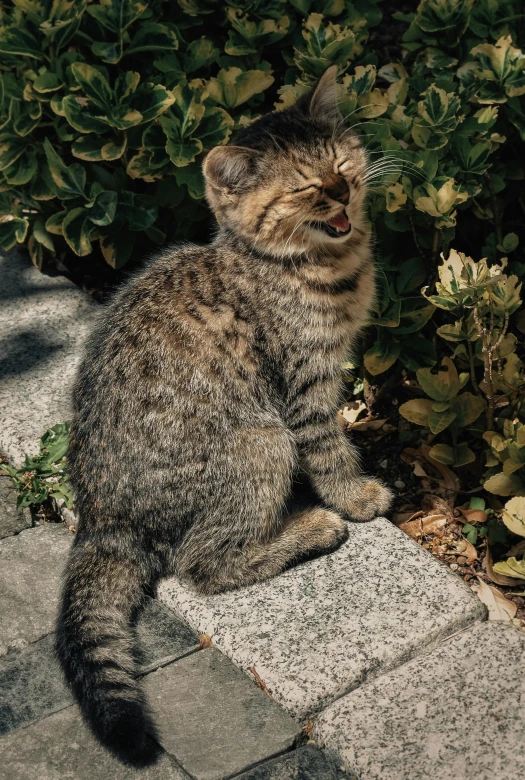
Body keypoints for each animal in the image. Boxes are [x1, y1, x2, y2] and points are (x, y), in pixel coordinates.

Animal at [57, 67, 390, 768]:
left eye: (341, 163)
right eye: (306, 186)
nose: (342, 189)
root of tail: (100, 521)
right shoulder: (305, 389)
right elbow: (329, 450)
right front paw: (354, 496)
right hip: (261, 441)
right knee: (203, 565)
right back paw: (311, 530)